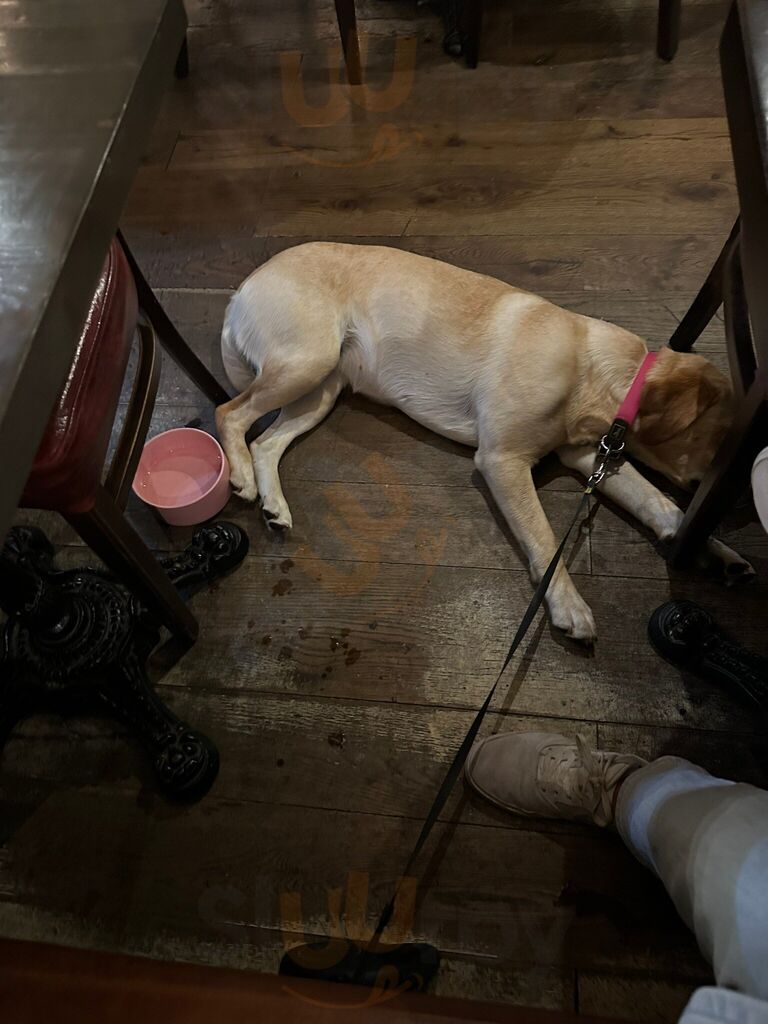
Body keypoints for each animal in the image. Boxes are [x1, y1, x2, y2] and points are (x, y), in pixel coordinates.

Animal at [216, 242, 752, 643]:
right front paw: (568, 603)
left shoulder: (586, 453)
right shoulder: (502, 460)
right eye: (722, 435)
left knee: (266, 443)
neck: (593, 372)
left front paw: (718, 552)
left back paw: (274, 506)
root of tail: (244, 286)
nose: (739, 504)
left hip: (321, 387)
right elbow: (545, 538)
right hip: (307, 360)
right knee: (231, 415)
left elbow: (658, 503)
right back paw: (239, 477)